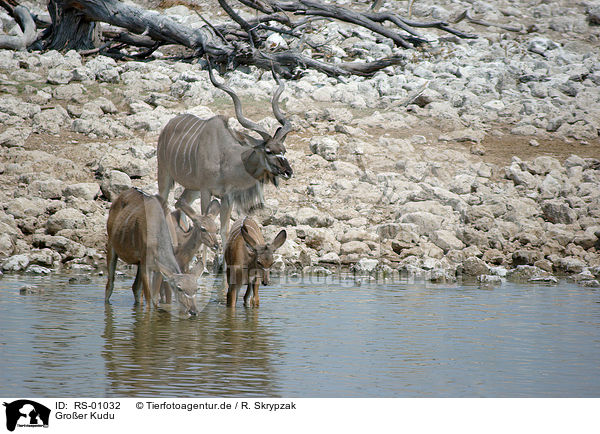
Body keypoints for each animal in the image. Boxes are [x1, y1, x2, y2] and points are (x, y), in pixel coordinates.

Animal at [106, 187, 200, 316]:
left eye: (196, 289)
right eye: (179, 288)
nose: (193, 311)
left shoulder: (157, 269)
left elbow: (154, 299)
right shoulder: (147, 266)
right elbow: (149, 300)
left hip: (139, 263)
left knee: (135, 288)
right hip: (111, 245)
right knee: (110, 284)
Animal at [157, 61, 292, 258]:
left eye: (284, 150)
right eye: (268, 151)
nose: (288, 172)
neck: (227, 159)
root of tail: (168, 126)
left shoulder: (227, 197)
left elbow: (223, 229)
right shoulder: (206, 191)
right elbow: (205, 222)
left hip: (192, 188)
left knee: (180, 203)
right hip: (165, 174)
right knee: (164, 204)